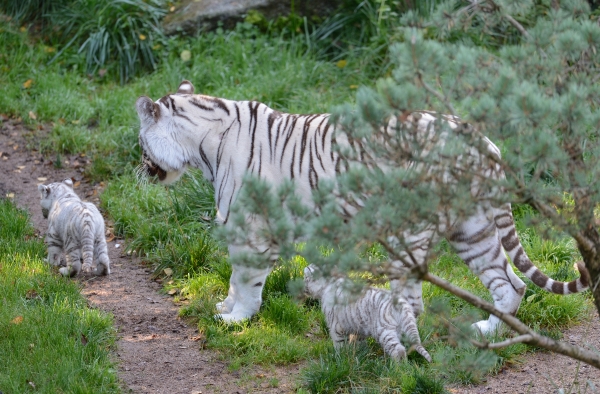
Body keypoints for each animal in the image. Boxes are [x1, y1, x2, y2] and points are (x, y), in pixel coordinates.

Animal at [136, 81, 592, 334]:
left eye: (140, 142)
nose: (139, 168)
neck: (202, 146)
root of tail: (484, 142)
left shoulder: (251, 228)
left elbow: (246, 279)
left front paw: (238, 320)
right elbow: (233, 279)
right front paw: (226, 308)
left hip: (415, 229)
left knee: (416, 300)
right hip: (472, 227)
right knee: (510, 285)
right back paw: (489, 332)